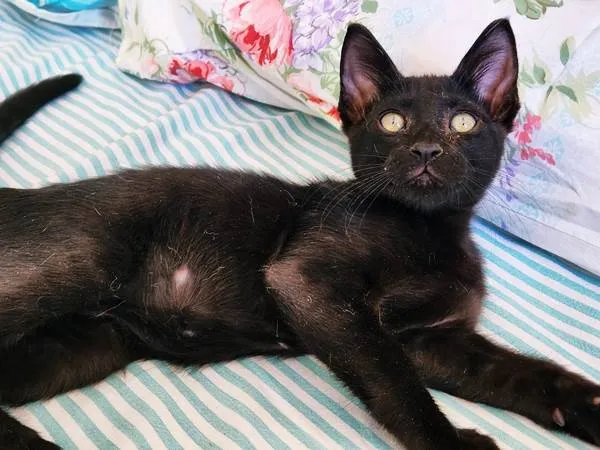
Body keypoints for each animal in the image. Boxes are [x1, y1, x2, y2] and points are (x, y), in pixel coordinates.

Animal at [0, 19, 598, 450]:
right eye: (393, 122)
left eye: (464, 123)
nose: (426, 150)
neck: (430, 230)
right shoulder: (306, 279)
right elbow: (393, 379)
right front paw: (453, 445)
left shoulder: (432, 339)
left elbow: (519, 372)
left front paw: (587, 406)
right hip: (75, 266)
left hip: (87, 343)